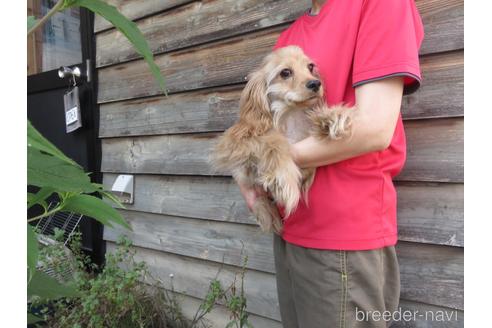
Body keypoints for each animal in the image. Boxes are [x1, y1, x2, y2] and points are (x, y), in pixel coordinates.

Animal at [211, 45, 354, 233]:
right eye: (285, 72)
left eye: (310, 67)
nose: (316, 83)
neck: (291, 115)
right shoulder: (232, 142)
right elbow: (272, 139)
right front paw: (283, 176)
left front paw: (333, 115)